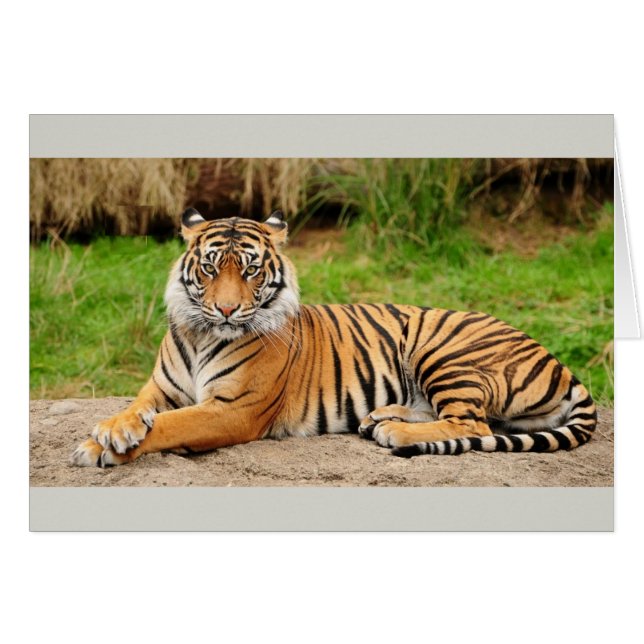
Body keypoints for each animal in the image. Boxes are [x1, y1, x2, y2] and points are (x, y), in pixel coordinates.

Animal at [71, 207, 597, 467]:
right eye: (210, 268)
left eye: (251, 270)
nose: (226, 309)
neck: (203, 334)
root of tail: (559, 361)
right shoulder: (160, 388)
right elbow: (138, 411)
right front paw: (111, 431)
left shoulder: (234, 409)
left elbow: (171, 426)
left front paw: (101, 449)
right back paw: (380, 417)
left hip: (442, 349)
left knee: (473, 424)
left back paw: (393, 430)